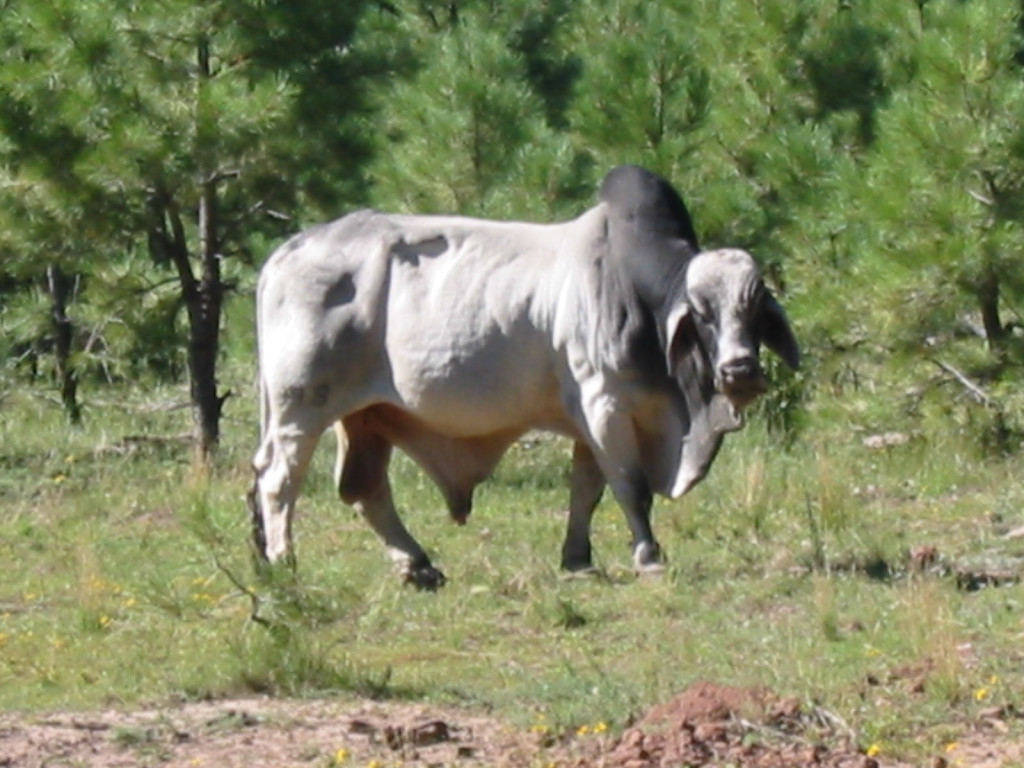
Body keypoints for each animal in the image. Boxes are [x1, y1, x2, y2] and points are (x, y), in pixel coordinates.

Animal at [248, 165, 799, 589]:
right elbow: (630, 486)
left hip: (366, 413)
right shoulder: (604, 404)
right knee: (279, 480)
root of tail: (285, 253)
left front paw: (577, 560)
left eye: (755, 311)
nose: (740, 370)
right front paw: (648, 557)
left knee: (363, 488)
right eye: (702, 314)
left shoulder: (587, 419)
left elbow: (586, 488)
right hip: (300, 404)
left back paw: (418, 565)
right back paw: (284, 563)